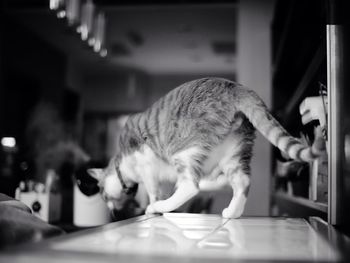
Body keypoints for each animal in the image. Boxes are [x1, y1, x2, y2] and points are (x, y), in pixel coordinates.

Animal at [87, 78, 326, 219]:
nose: (109, 209)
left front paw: (152, 205)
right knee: (242, 182)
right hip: (235, 153)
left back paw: (161, 207)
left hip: (185, 150)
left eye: (102, 194)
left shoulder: (146, 164)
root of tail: (235, 87)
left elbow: (154, 191)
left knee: (190, 187)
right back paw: (232, 212)